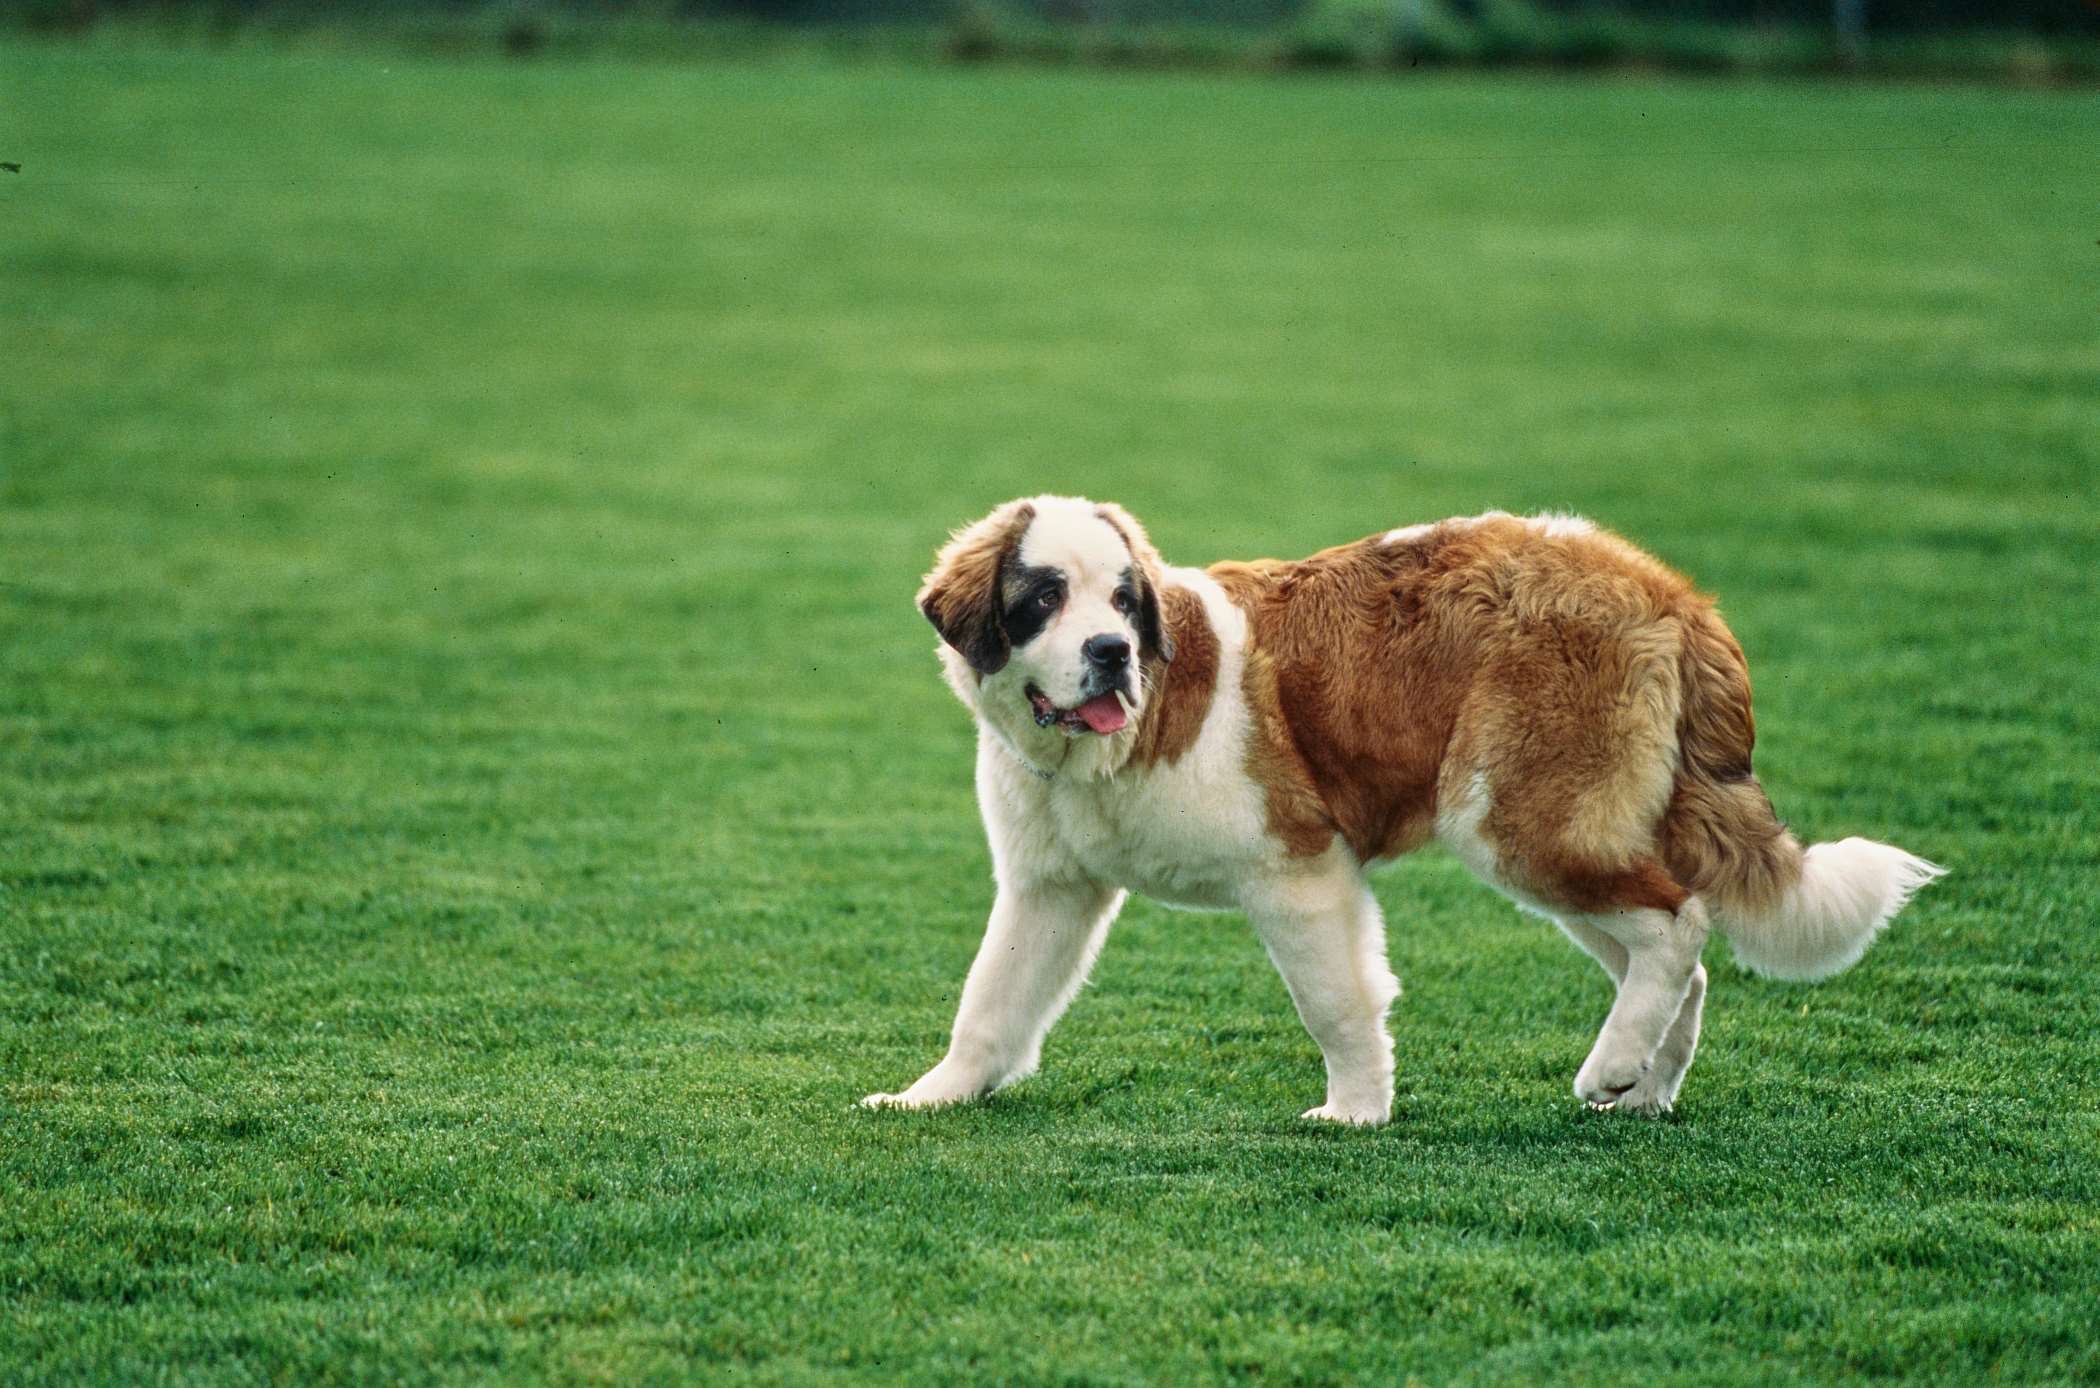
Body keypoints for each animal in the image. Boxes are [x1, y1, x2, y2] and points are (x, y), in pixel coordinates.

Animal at [860, 493, 1940, 1117]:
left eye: (1125, 600)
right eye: (1044, 596)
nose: (1112, 652)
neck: (1111, 744)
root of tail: (1664, 586)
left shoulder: (1296, 869)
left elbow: (1336, 1000)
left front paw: (1354, 1111)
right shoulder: (1051, 889)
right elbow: (992, 998)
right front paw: (933, 1095)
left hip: (1522, 827)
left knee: (1676, 924)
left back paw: (1610, 1069)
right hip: (1568, 840)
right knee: (1678, 949)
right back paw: (1643, 1085)